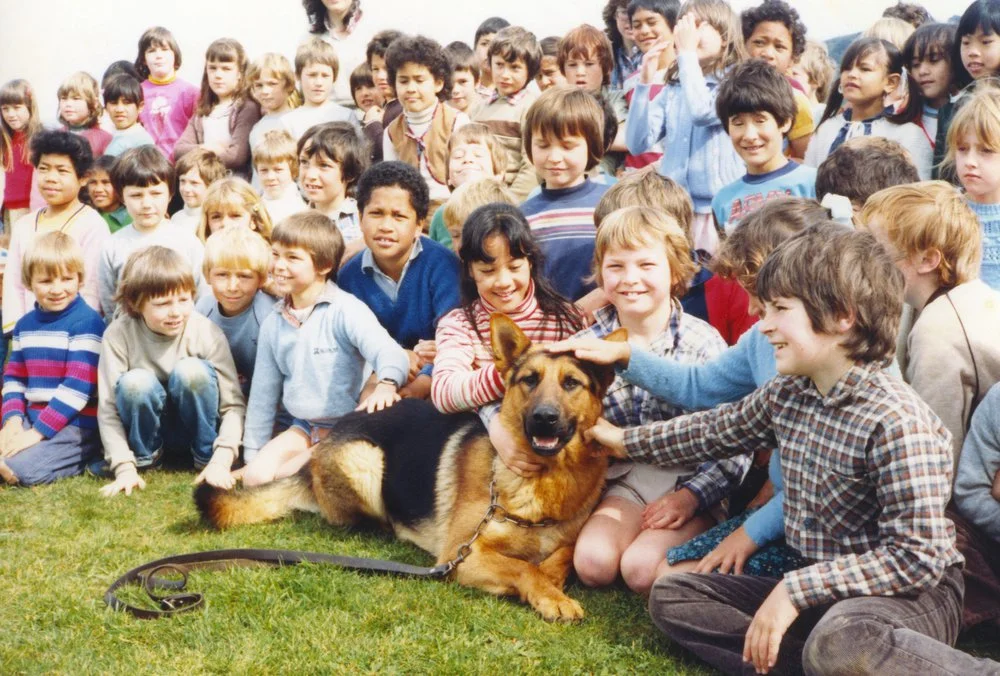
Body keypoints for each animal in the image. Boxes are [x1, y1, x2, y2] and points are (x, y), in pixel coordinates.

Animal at [195, 314, 624, 620]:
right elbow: (523, 568)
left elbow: (562, 554)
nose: (543, 419)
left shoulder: (565, 539)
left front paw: (552, 582)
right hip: (366, 460)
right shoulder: (462, 557)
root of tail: (327, 439)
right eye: (529, 380)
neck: (543, 480)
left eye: (571, 383)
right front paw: (549, 593)